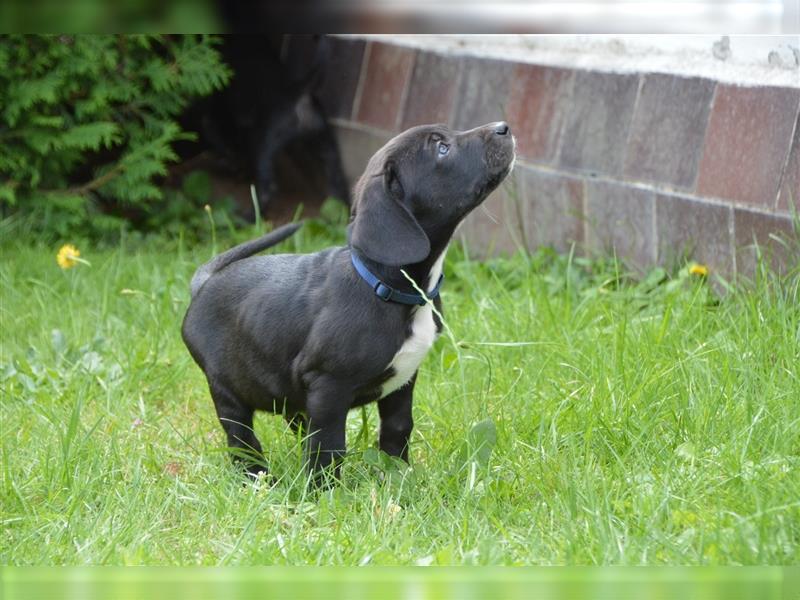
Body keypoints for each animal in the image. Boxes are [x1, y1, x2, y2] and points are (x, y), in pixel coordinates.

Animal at [182, 120, 516, 482]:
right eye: (442, 149)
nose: (503, 127)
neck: (386, 287)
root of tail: (204, 282)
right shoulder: (328, 387)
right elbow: (328, 447)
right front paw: (323, 489)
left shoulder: (403, 382)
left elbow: (398, 428)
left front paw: (398, 475)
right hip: (227, 389)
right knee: (242, 439)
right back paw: (257, 477)